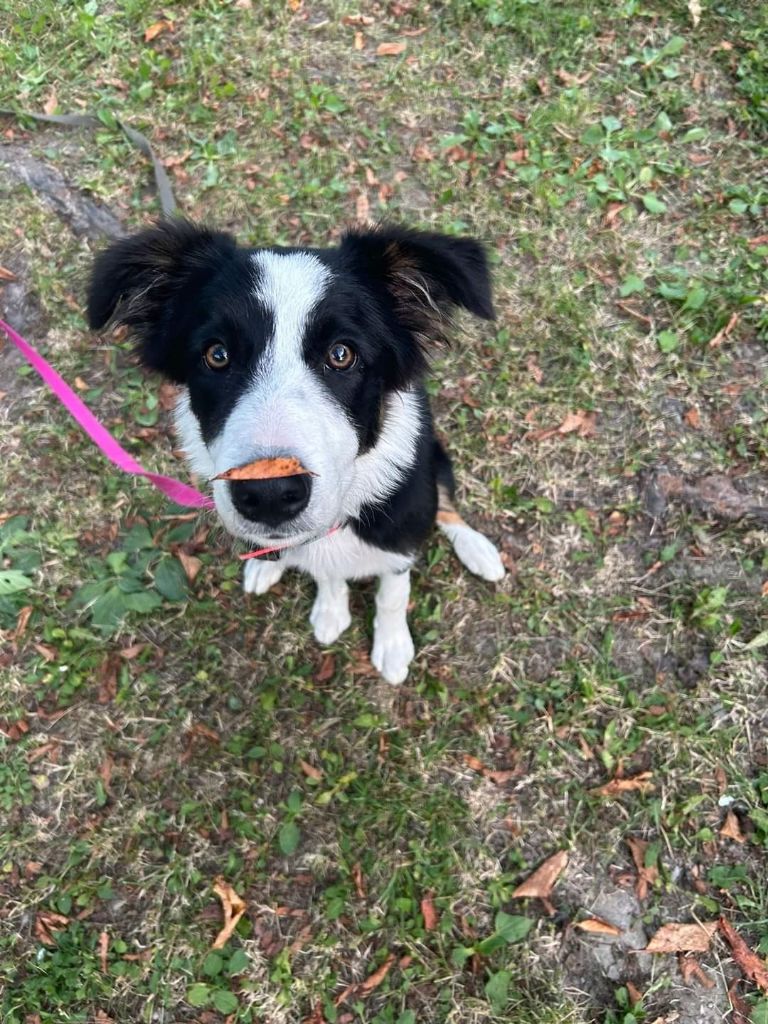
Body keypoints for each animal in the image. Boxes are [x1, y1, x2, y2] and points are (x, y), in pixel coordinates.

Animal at [87, 225, 507, 688]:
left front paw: (393, 645)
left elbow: (393, 593)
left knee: (448, 506)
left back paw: (478, 550)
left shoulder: (401, 531)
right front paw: (331, 610)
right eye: (217, 355)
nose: (269, 493)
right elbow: (327, 573)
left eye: (342, 354)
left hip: (434, 458)